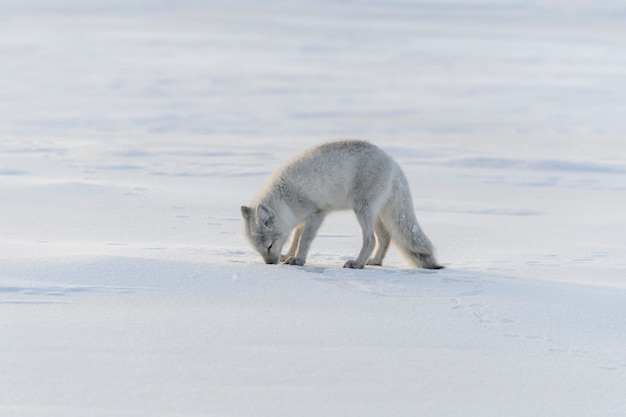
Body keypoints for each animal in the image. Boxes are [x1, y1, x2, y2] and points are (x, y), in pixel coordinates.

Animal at [241, 140, 442, 270]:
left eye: (269, 246)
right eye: (259, 249)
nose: (270, 264)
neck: (286, 197)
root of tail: (393, 163)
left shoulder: (317, 212)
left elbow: (304, 239)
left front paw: (298, 260)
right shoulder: (302, 218)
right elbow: (296, 238)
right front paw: (289, 254)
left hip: (362, 209)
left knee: (370, 239)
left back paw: (357, 264)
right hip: (375, 213)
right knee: (385, 237)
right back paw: (375, 261)